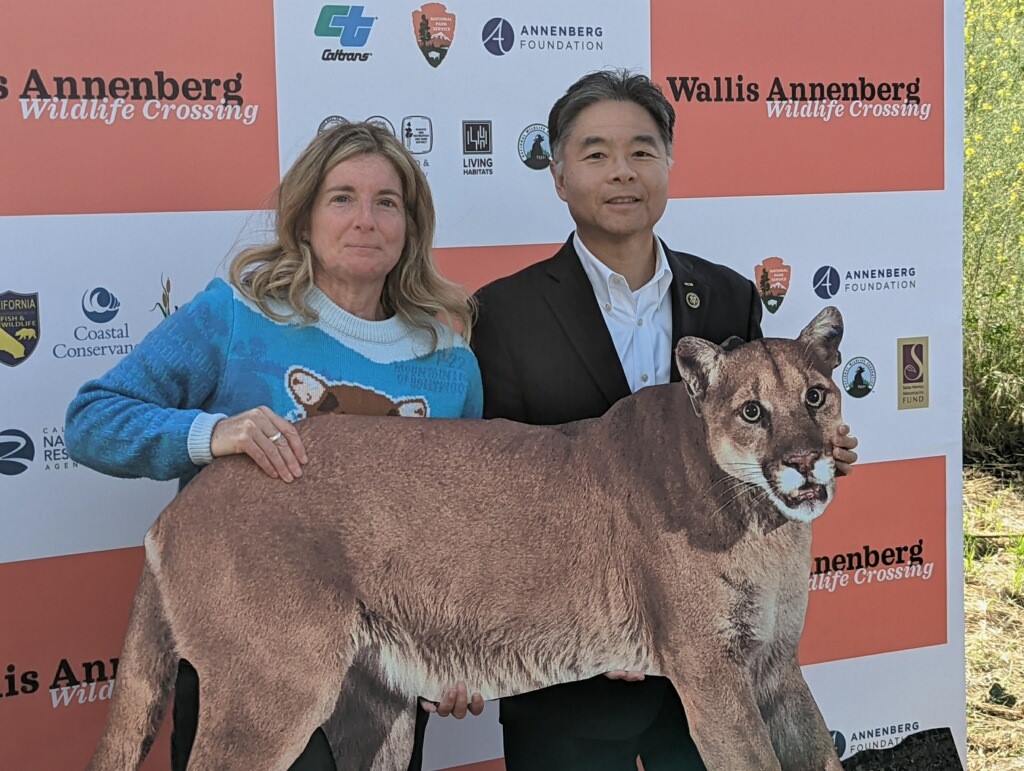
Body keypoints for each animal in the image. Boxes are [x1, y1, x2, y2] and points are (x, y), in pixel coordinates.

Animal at [88, 307, 846, 771]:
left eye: (815, 395)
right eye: (752, 411)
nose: (810, 461)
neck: (766, 525)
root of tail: (190, 494)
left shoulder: (774, 663)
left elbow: (820, 752)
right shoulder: (711, 669)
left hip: (375, 709)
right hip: (269, 689)